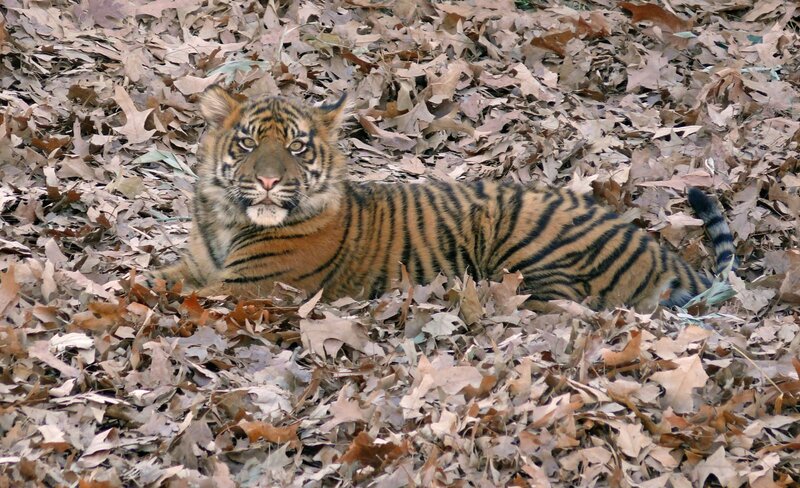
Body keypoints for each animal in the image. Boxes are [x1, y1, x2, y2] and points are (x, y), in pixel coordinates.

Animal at [149, 85, 737, 312]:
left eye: (295, 147)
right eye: (248, 143)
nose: (269, 183)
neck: (227, 219)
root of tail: (665, 254)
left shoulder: (244, 287)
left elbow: (159, 299)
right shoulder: (196, 267)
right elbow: (146, 279)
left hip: (529, 252)